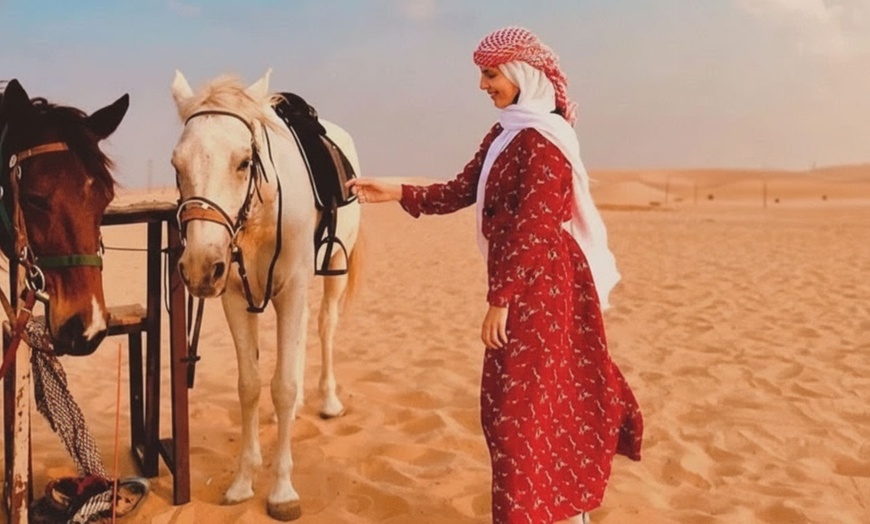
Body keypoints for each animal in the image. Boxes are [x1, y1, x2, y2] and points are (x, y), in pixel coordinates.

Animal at [170, 69, 362, 520]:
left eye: (243, 161)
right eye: (177, 164)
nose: (200, 266)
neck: (262, 212)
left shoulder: (291, 289)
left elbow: (284, 385)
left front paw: (282, 491)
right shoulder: (234, 296)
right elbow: (252, 385)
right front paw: (243, 482)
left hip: (333, 268)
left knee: (325, 326)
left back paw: (328, 401)